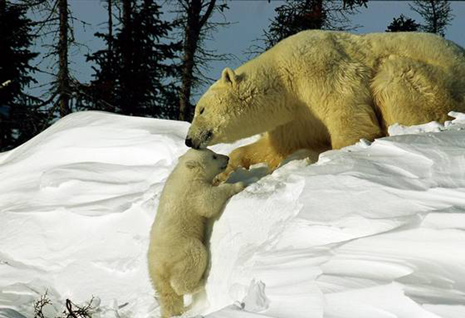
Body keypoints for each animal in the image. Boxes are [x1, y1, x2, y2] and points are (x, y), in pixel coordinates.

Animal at [185, 30, 464, 171]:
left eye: (201, 110)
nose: (189, 140)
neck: (284, 77)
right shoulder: (298, 115)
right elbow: (282, 145)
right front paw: (231, 166)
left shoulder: (319, 70)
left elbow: (349, 114)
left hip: (436, 83)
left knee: (393, 76)